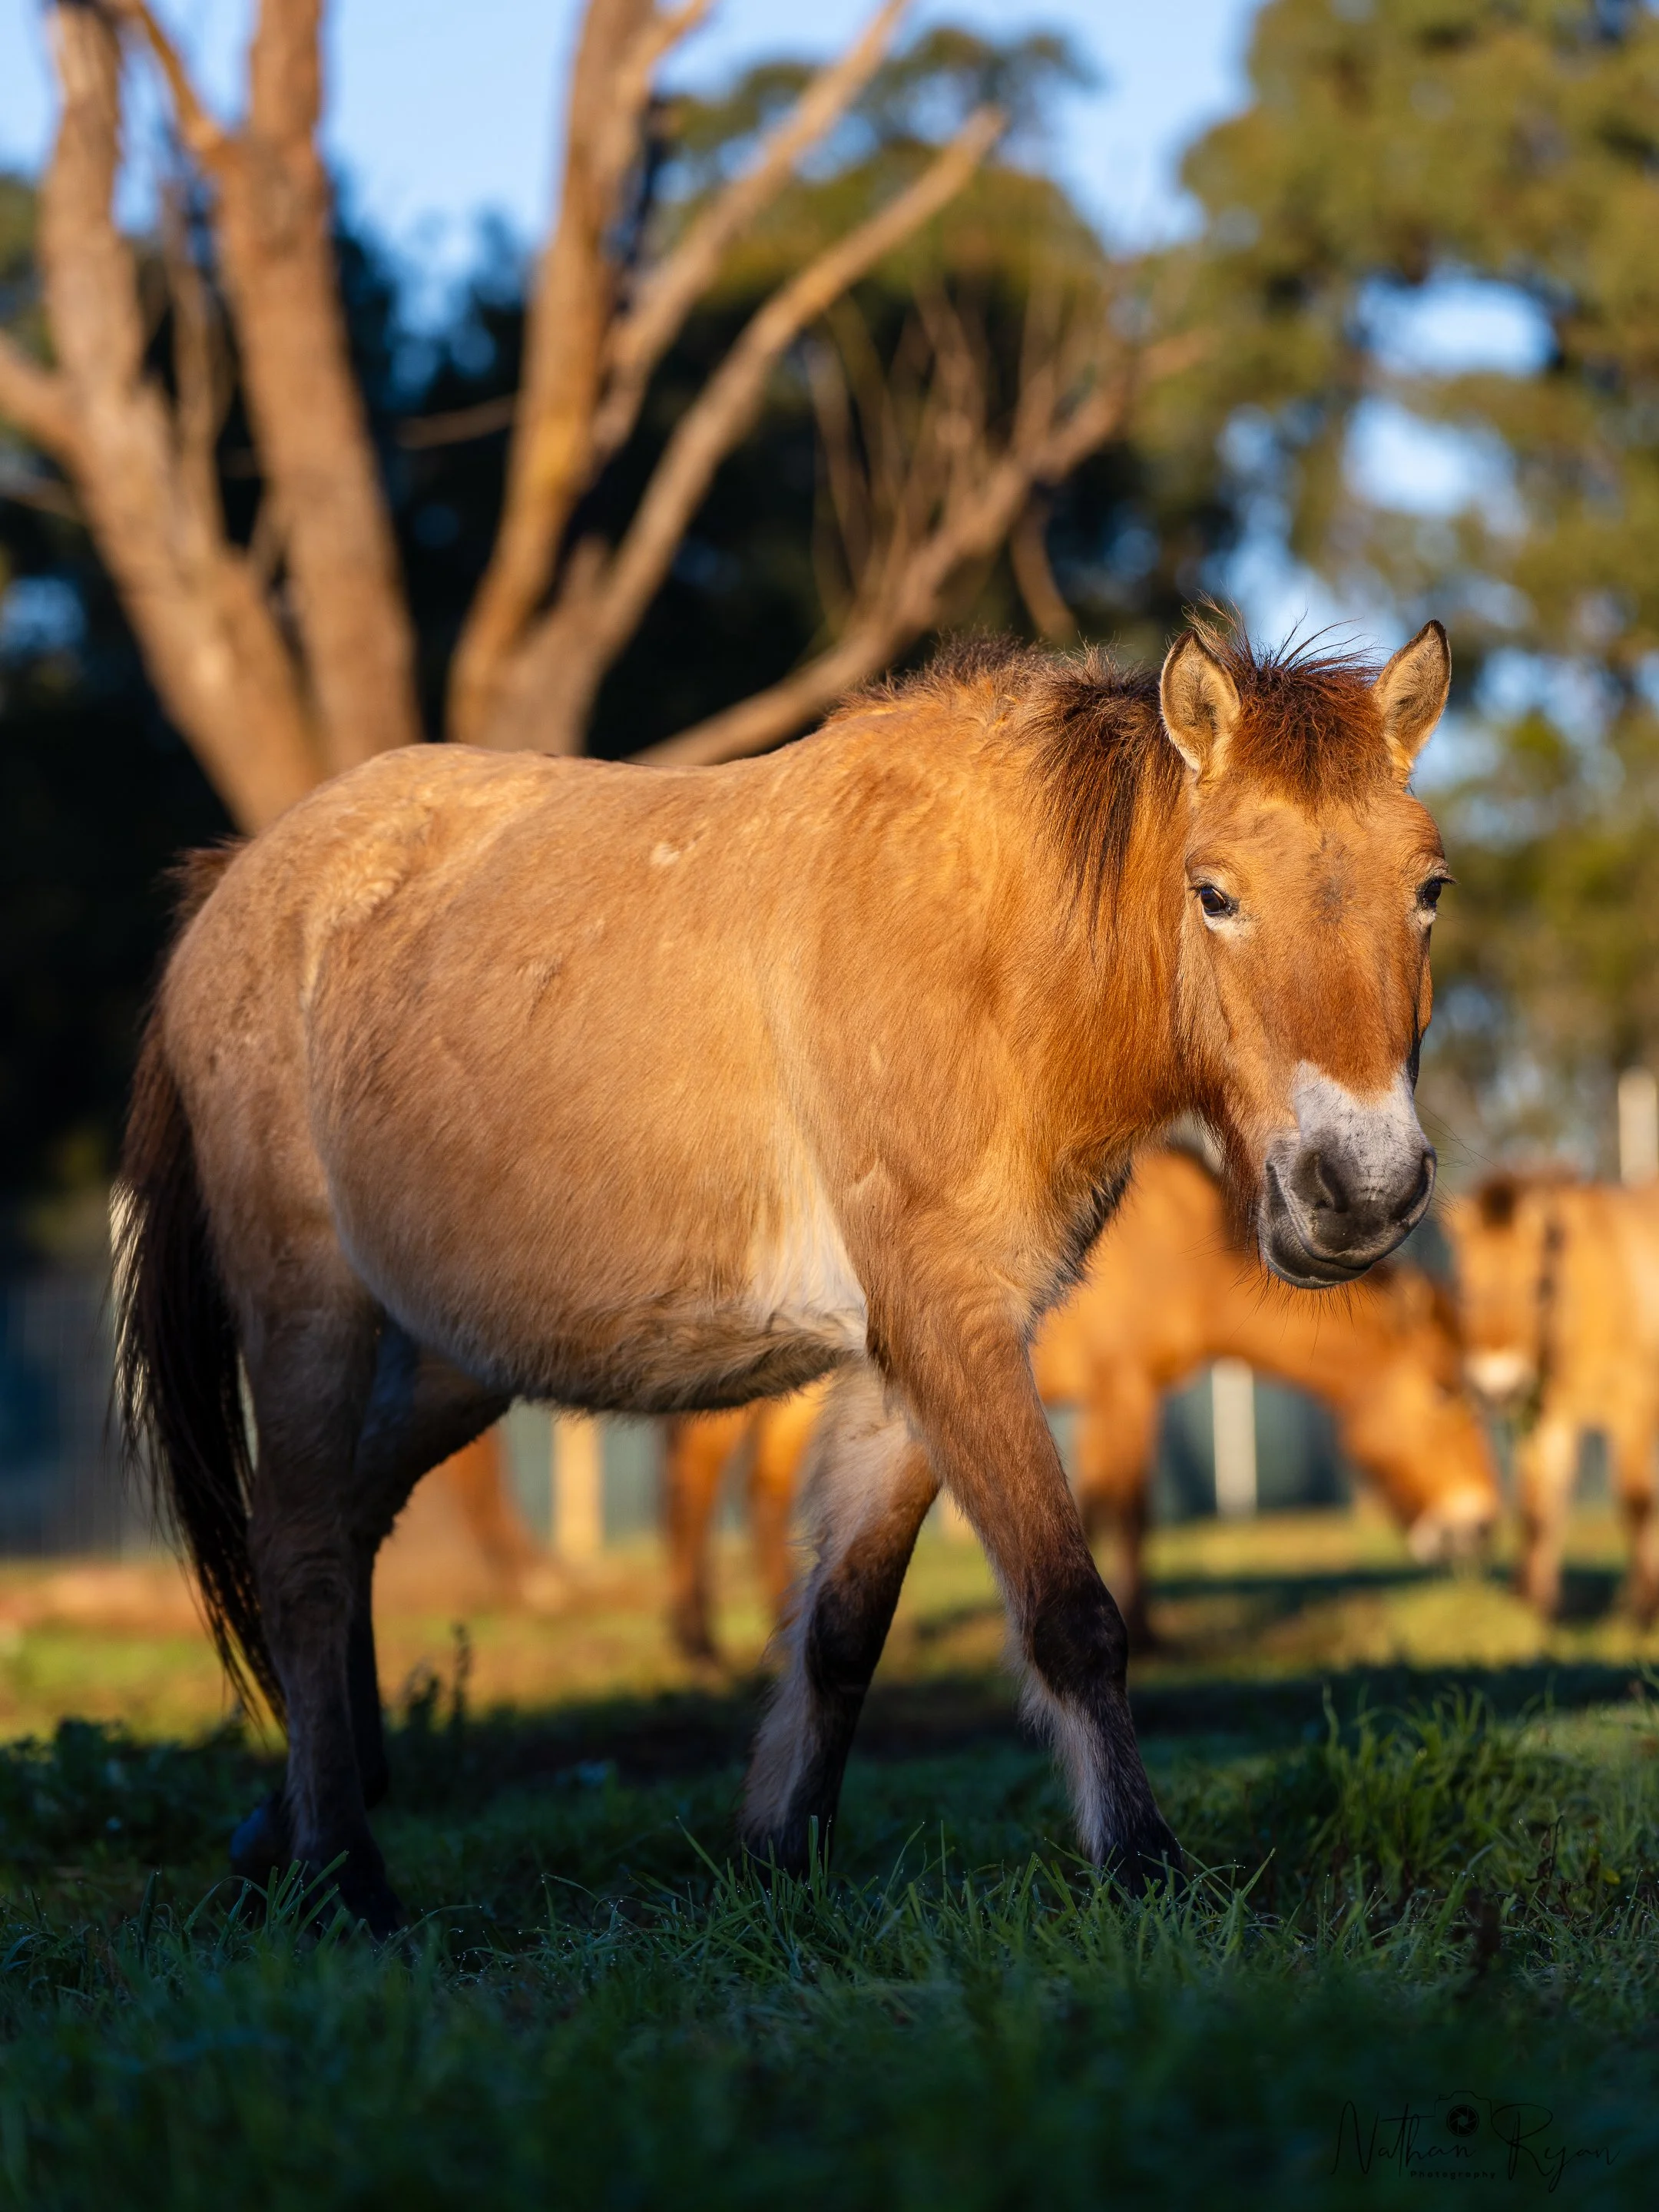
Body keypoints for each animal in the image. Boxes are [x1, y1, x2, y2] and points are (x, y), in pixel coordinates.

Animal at [663, 1146, 1498, 1659]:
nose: (1480, 1523)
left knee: (763, 1489)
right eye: (1444, 1390)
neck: (1180, 1245)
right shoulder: (1123, 1391)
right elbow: (1127, 1507)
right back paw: (701, 1643)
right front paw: (1147, 1634)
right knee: (699, 1478)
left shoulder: (1117, 1401)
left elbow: (1106, 1505)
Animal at [1446, 1171, 1659, 1620]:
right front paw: (1534, 1605)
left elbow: (1636, 1503)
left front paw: (1644, 1608)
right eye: (1464, 1290)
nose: (1497, 1384)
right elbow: (1538, 1510)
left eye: (1540, 1287)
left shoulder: (1634, 1408)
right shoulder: (1545, 1417)